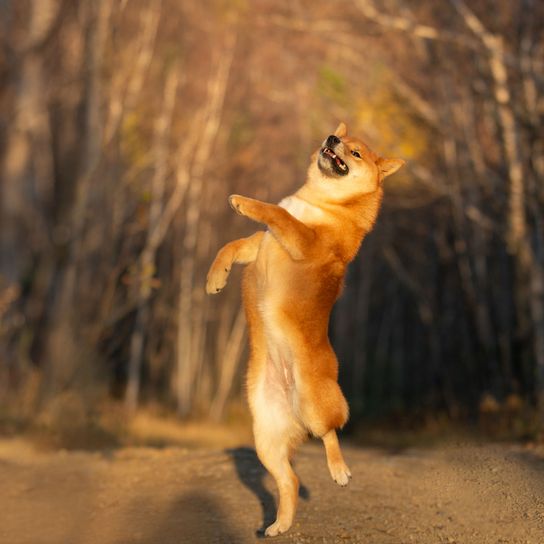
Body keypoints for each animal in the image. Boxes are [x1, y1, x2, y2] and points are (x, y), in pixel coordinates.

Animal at [207, 123, 404, 536]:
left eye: (356, 153)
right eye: (338, 136)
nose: (332, 138)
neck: (324, 202)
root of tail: (292, 408)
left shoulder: (302, 239)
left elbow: (277, 213)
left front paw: (244, 202)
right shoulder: (259, 243)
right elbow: (232, 246)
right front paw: (215, 278)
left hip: (316, 403)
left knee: (329, 432)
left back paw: (340, 469)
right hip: (265, 437)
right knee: (290, 480)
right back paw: (280, 524)